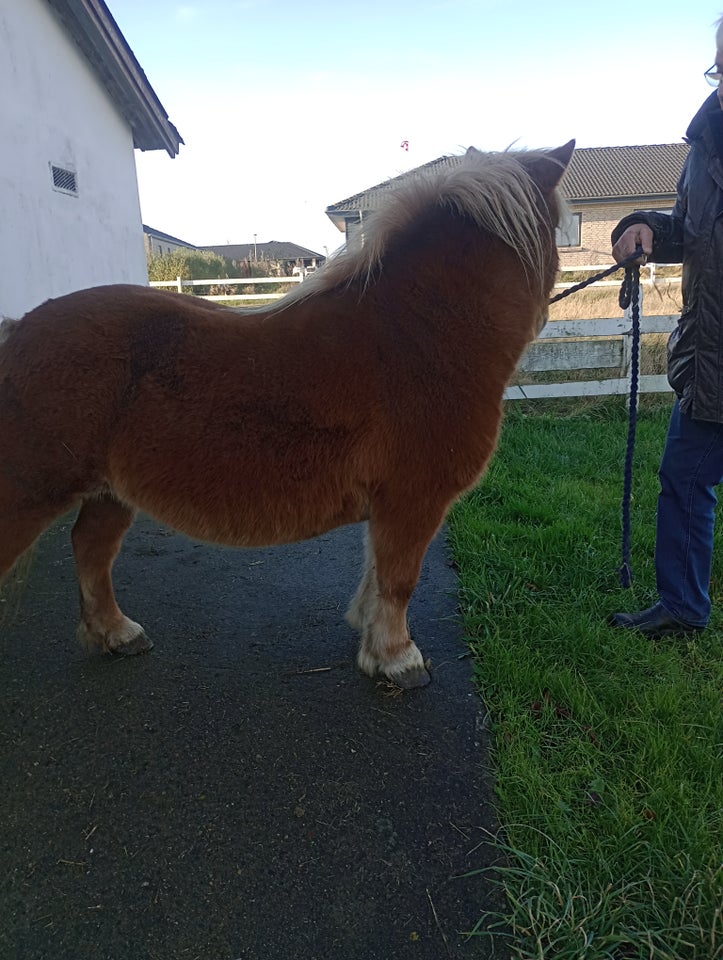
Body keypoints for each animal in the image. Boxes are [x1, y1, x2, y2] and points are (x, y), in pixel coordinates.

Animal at [1, 141, 576, 684]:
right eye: (557, 224)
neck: (418, 332)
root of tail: (20, 328)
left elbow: (376, 572)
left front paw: (370, 637)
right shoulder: (413, 498)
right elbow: (398, 579)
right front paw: (397, 658)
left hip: (109, 492)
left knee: (91, 548)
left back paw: (117, 633)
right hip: (30, 492)